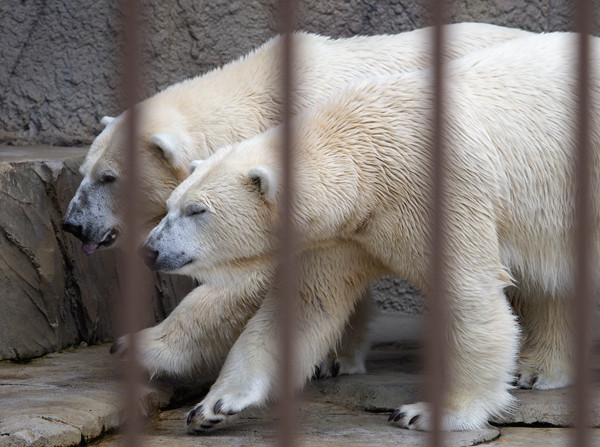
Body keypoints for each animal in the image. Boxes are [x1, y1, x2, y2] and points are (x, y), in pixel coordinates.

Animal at [62, 23, 536, 382]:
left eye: (108, 177)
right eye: (84, 170)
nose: (72, 224)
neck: (261, 103)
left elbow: (248, 280)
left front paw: (137, 347)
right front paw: (338, 356)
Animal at [144, 32, 600, 434]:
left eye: (197, 210)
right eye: (170, 205)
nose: (149, 249)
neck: (367, 155)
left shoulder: (443, 187)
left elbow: (470, 294)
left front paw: (431, 413)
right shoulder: (346, 233)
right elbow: (305, 303)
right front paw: (213, 406)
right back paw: (539, 369)